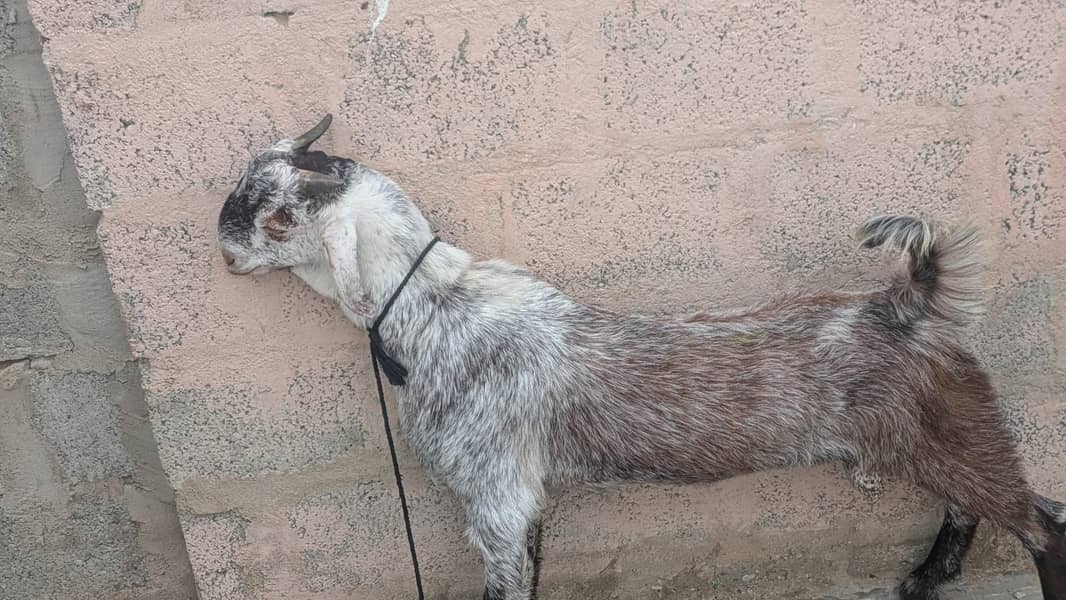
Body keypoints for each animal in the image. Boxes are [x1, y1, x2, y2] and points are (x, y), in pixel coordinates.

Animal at [216, 114, 1066, 600]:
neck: (436, 306)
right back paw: (922, 580)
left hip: (956, 440)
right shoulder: (525, 506)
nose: (222, 247)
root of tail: (906, 304)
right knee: (977, 513)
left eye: (275, 214)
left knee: (1042, 523)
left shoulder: (496, 499)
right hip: (939, 445)